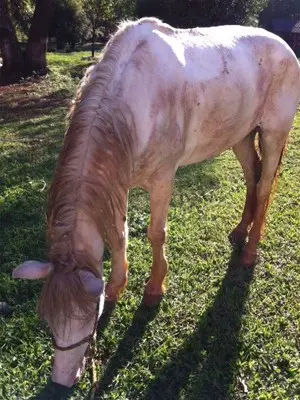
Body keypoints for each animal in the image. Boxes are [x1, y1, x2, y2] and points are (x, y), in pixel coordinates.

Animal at [11, 18, 300, 388]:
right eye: (48, 321)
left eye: (88, 318)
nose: (62, 381)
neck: (134, 98)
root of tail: (283, 45)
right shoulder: (116, 182)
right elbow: (118, 236)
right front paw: (117, 286)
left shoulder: (163, 179)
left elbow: (156, 233)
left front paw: (153, 288)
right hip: (241, 135)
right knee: (253, 178)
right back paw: (240, 230)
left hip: (274, 132)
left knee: (263, 188)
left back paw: (249, 250)